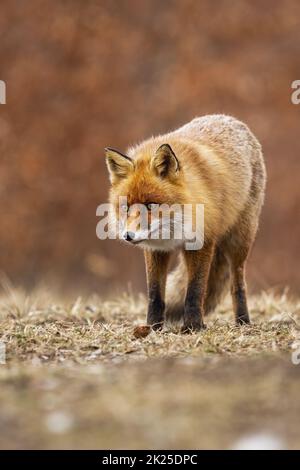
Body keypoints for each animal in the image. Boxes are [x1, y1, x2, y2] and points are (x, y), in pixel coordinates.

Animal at [105, 115, 264, 332]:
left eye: (150, 205)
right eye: (126, 207)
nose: (128, 236)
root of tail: (232, 119)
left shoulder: (202, 242)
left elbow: (195, 291)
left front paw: (193, 326)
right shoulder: (155, 250)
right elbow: (155, 294)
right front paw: (152, 327)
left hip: (240, 240)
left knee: (237, 283)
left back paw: (243, 321)